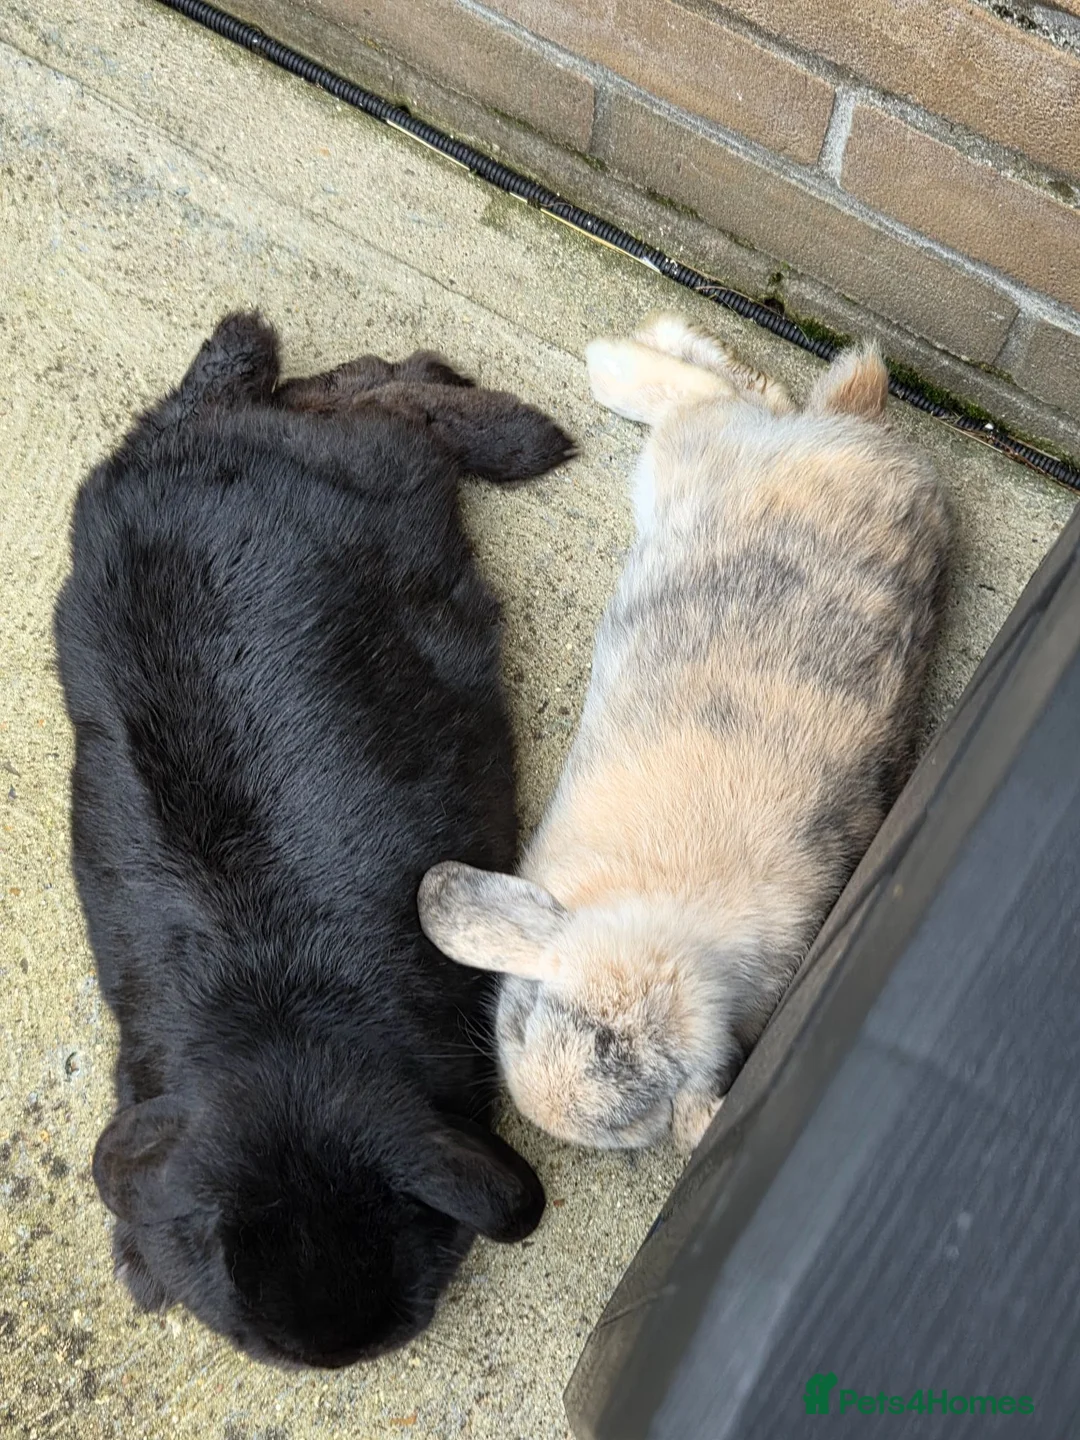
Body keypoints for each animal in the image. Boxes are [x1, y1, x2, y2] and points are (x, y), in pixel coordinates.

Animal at [53, 311, 575, 1368]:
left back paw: (518, 433)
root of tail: (183, 443)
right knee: (349, 388)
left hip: (380, 472)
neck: (285, 1028)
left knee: (387, 397)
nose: (330, 1355)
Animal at [418, 311, 949, 1156]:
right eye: (522, 1021)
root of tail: (867, 438)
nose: (539, 1106)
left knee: (737, 395)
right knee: (725, 395)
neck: (664, 921)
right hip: (704, 454)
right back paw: (619, 358)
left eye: (623, 1126)